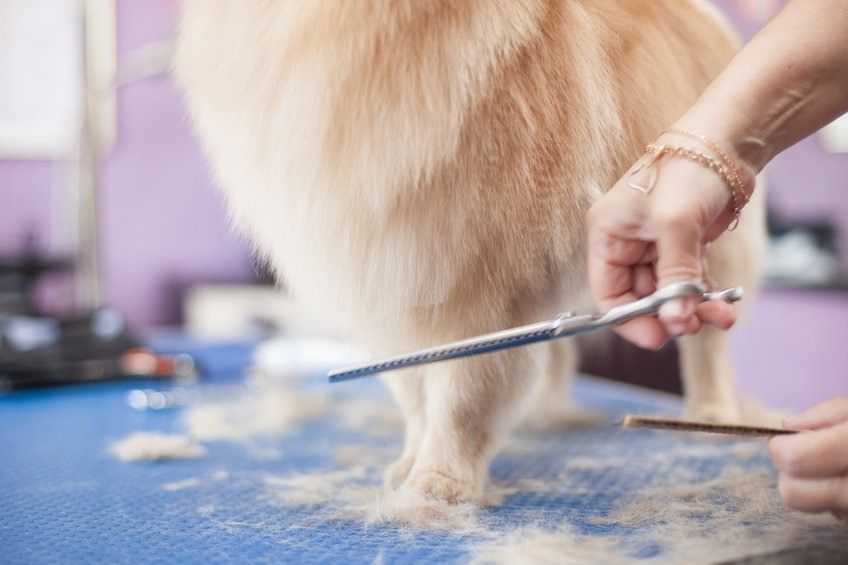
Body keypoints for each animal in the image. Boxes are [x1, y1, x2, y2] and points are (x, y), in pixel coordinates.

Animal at [174, 0, 768, 502]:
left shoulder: (480, 294)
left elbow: (460, 396)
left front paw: (439, 483)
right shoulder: (395, 294)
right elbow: (414, 394)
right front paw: (408, 465)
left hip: (706, 243)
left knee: (707, 346)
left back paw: (710, 412)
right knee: (558, 352)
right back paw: (545, 411)